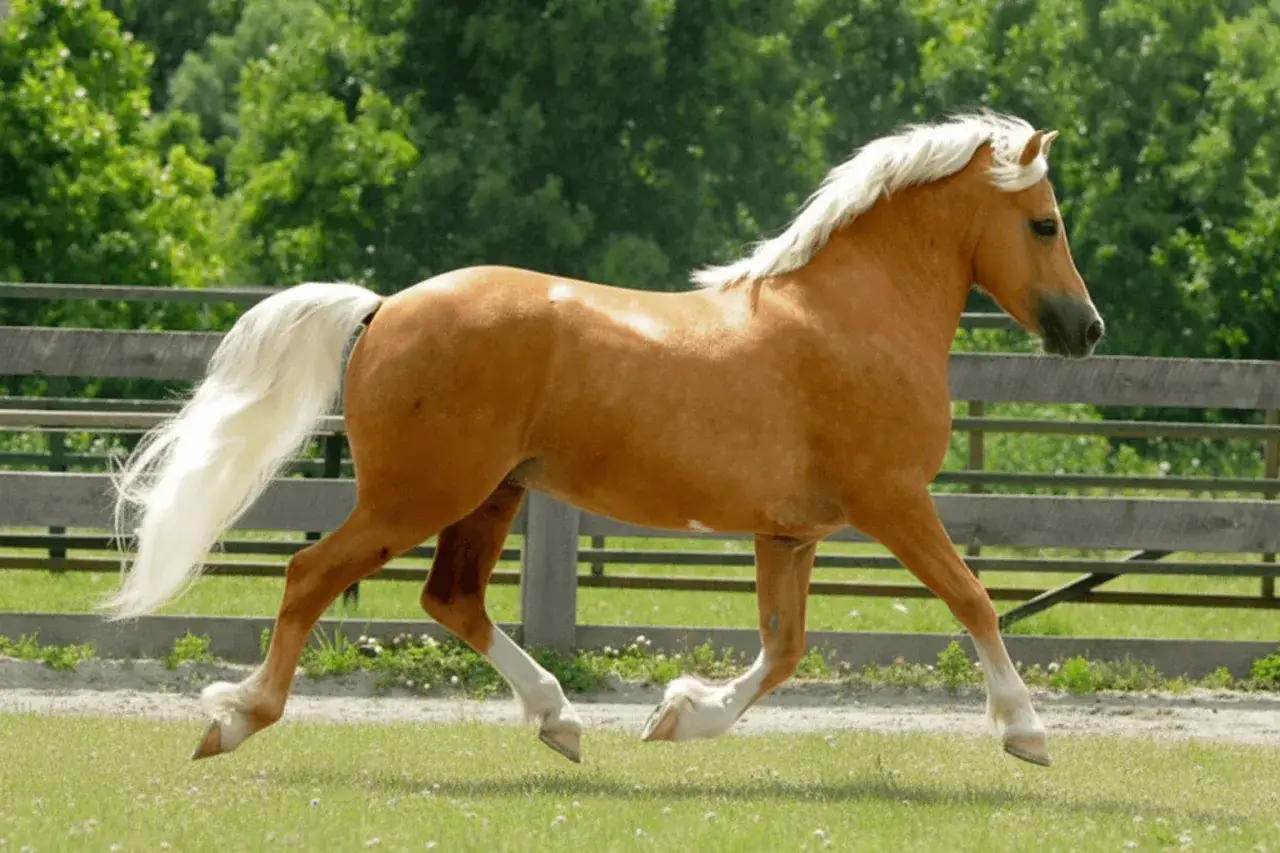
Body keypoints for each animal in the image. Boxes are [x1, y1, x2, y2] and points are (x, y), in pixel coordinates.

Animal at [103, 110, 1103, 768]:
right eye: (1045, 223)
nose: (1087, 330)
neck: (853, 317)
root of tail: (384, 305)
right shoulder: (894, 502)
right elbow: (973, 600)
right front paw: (1026, 732)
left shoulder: (789, 531)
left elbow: (783, 648)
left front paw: (679, 716)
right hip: (418, 495)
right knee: (313, 575)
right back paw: (234, 719)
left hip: (491, 495)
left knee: (451, 599)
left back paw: (560, 720)